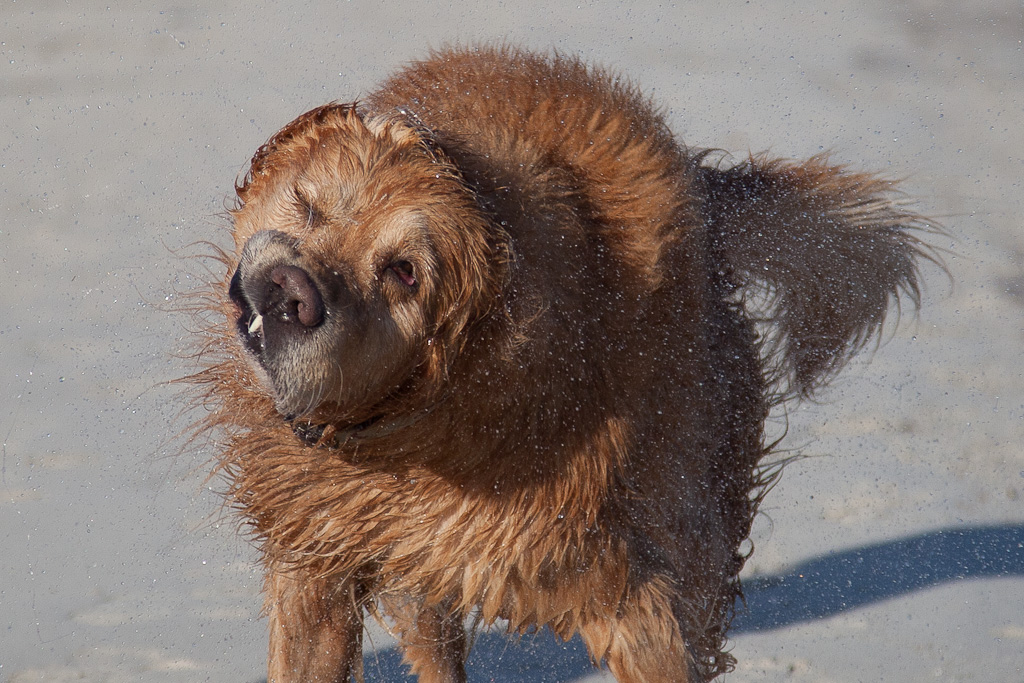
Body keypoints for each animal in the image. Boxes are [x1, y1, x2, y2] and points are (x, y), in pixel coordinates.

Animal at [193, 45, 937, 679]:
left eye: (404, 271)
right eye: (308, 205)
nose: (292, 290)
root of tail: (702, 188)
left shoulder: (615, 578)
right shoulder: (320, 549)